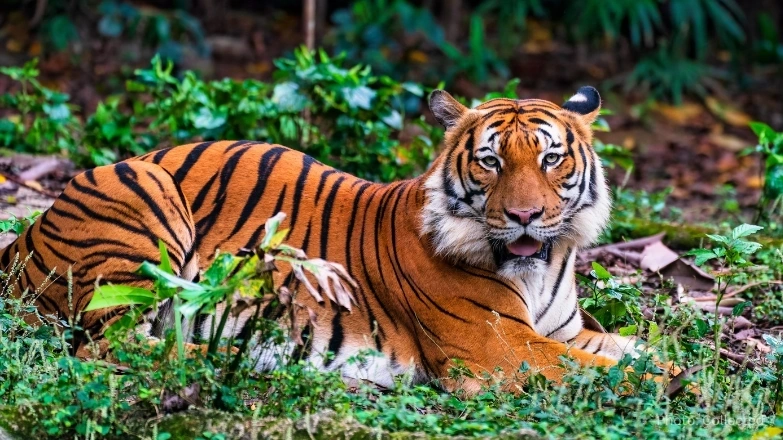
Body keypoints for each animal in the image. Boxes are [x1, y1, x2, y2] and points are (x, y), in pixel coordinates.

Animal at [0, 87, 650, 392]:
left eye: (550, 159)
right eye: (490, 161)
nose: (523, 216)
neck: (542, 265)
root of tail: (26, 233)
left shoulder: (561, 332)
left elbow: (631, 349)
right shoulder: (501, 348)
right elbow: (612, 369)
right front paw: (666, 384)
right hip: (145, 196)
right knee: (114, 346)